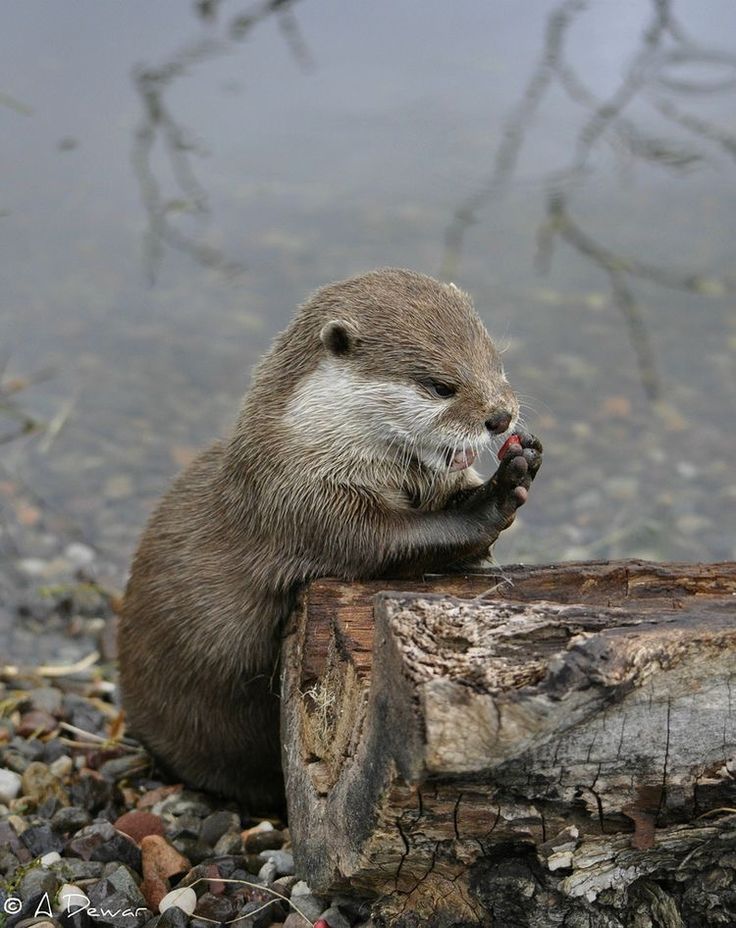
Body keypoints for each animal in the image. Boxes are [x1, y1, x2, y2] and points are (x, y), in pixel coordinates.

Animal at [119, 270, 540, 812]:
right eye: (441, 386)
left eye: (497, 361)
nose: (500, 417)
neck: (308, 446)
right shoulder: (303, 504)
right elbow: (391, 543)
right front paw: (496, 495)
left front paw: (525, 458)